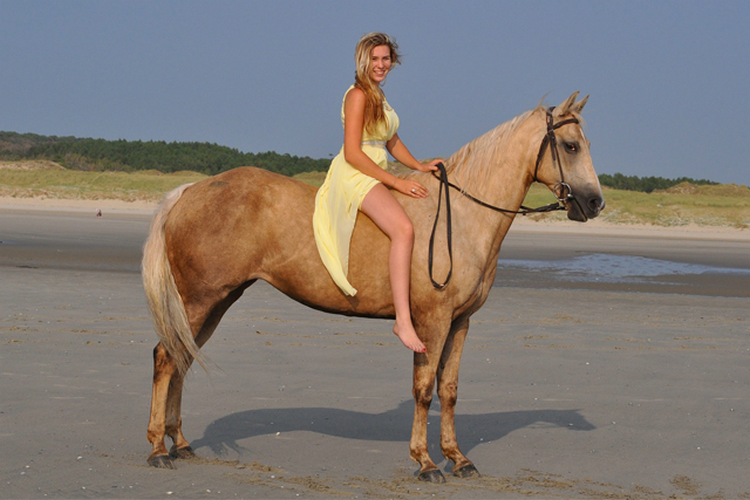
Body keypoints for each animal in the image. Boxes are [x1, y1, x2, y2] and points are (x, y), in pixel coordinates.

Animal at [142, 92, 604, 483]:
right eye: (570, 146)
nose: (595, 202)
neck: (460, 216)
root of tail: (191, 190)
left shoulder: (460, 323)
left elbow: (449, 390)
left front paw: (458, 458)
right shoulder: (432, 322)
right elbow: (424, 389)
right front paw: (425, 462)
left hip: (216, 301)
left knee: (182, 357)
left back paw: (179, 443)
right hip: (200, 300)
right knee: (166, 358)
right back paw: (158, 450)